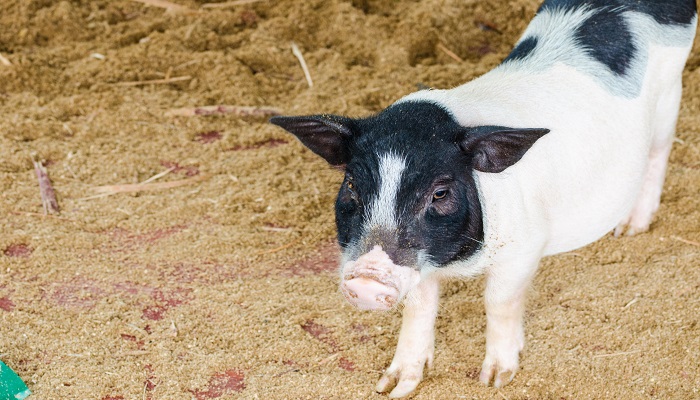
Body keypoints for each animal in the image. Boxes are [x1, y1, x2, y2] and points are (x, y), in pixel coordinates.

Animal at [270, 0, 696, 396]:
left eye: (440, 192)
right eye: (353, 186)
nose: (368, 278)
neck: (455, 261)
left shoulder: (524, 247)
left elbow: (498, 302)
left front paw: (495, 380)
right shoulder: (419, 265)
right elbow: (419, 308)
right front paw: (393, 387)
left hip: (670, 96)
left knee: (659, 152)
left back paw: (630, 229)